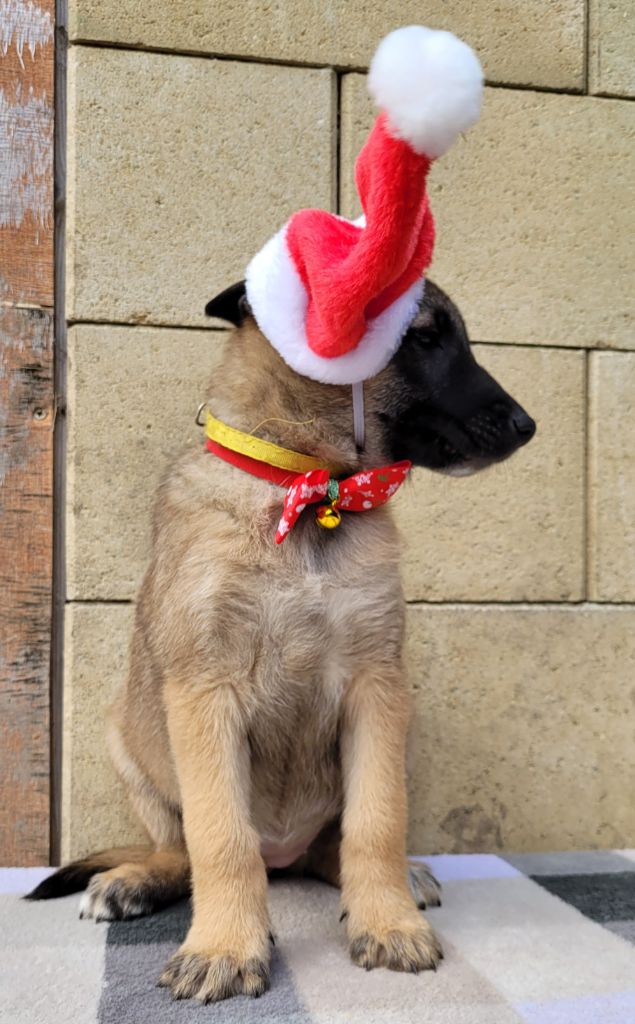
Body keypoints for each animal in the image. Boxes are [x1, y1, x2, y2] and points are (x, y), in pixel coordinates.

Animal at [29, 279, 535, 1002]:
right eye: (423, 339)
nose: (527, 425)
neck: (309, 491)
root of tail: (284, 855)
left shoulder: (377, 686)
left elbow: (376, 822)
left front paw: (388, 923)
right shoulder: (204, 694)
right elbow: (220, 838)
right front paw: (223, 946)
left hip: (400, 734)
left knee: (335, 843)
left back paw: (395, 879)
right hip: (128, 741)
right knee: (178, 849)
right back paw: (135, 881)